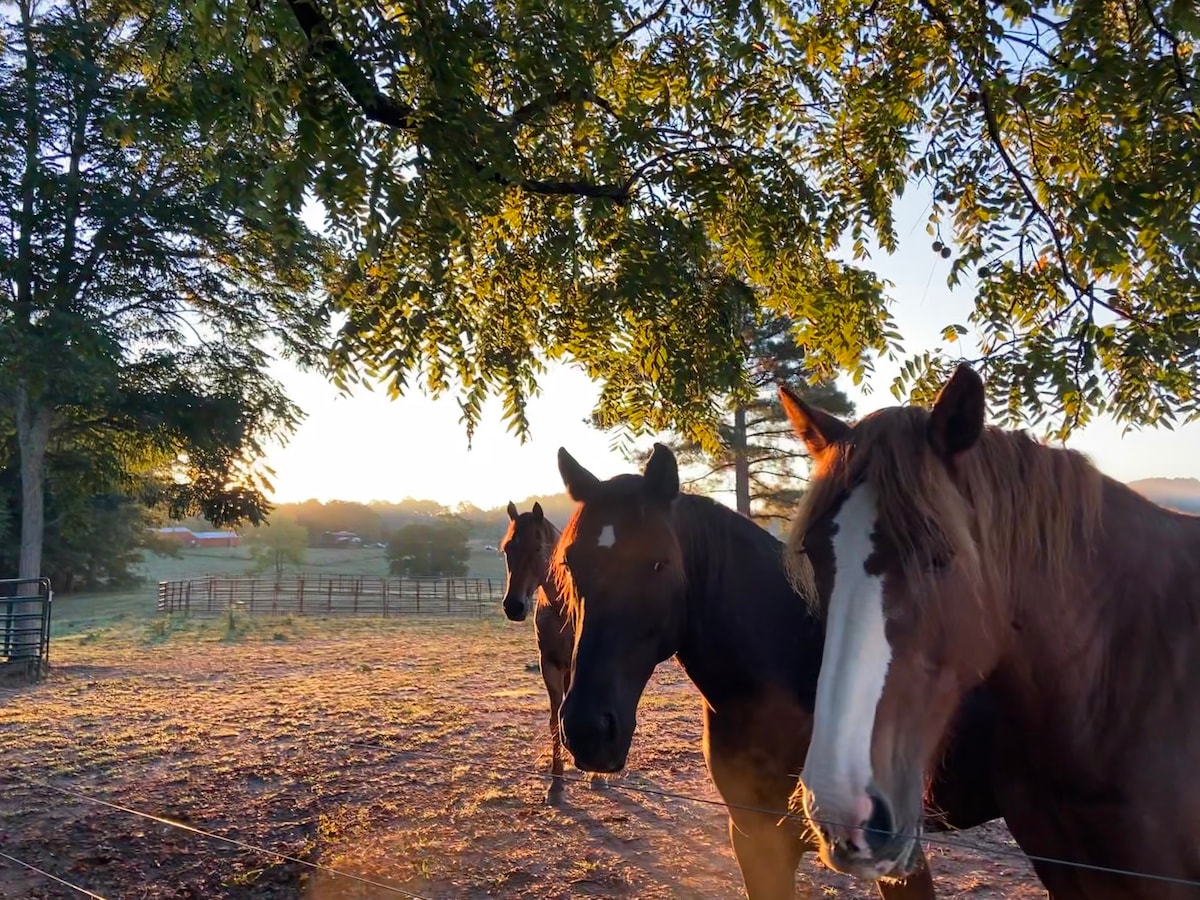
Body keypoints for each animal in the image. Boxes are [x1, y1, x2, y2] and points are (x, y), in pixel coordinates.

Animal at [499, 504, 609, 806]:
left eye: (537, 547)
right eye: (507, 548)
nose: (513, 606)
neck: (563, 608)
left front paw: (597, 776)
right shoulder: (549, 664)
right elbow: (554, 719)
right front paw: (556, 784)